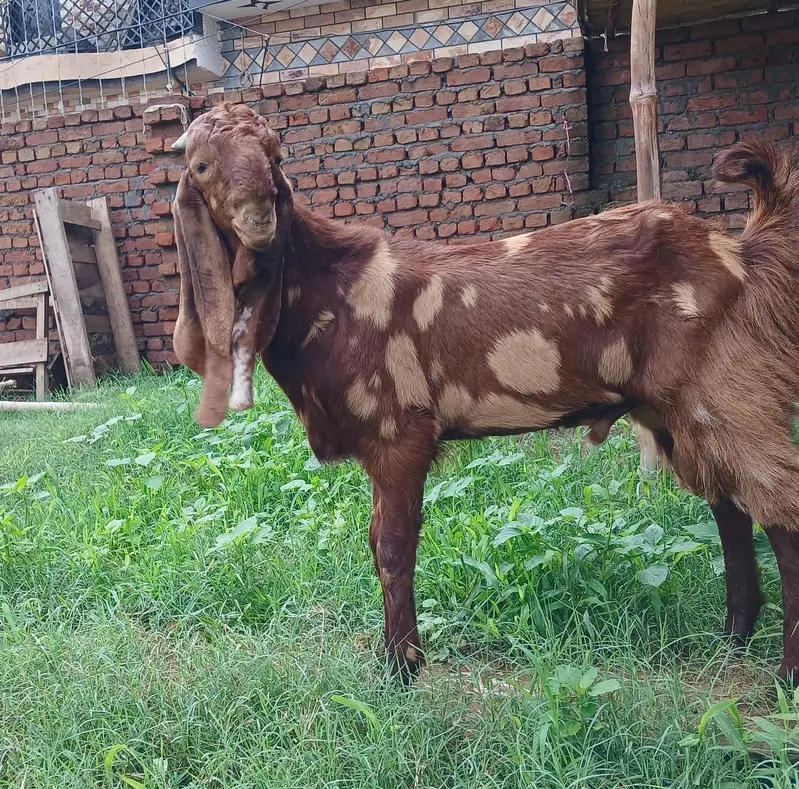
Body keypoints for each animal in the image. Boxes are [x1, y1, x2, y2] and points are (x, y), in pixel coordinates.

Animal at [172, 102, 799, 684]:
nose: (258, 220)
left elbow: (391, 547)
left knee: (779, 508)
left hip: (724, 388)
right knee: (729, 506)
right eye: (201, 165)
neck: (332, 287)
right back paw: (733, 639)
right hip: (676, 409)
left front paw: (402, 669)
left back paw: (785, 672)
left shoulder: (401, 432)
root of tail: (740, 258)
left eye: (275, 158)